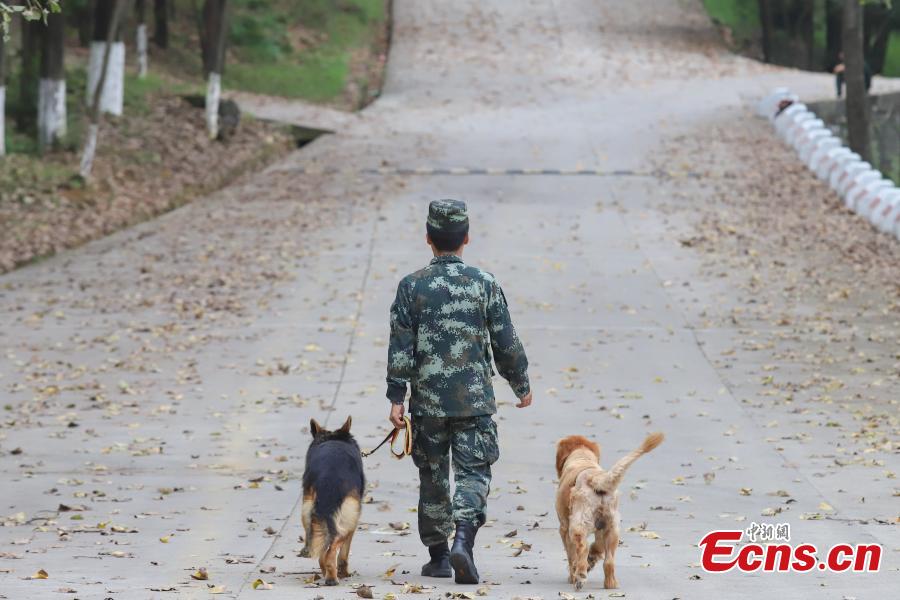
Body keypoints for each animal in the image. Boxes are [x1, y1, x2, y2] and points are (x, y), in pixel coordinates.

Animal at [298, 418, 362, 584]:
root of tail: (329, 480)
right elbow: (344, 553)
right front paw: (344, 572)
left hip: (308, 512)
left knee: (321, 543)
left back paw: (326, 571)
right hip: (350, 518)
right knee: (335, 542)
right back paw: (332, 575)